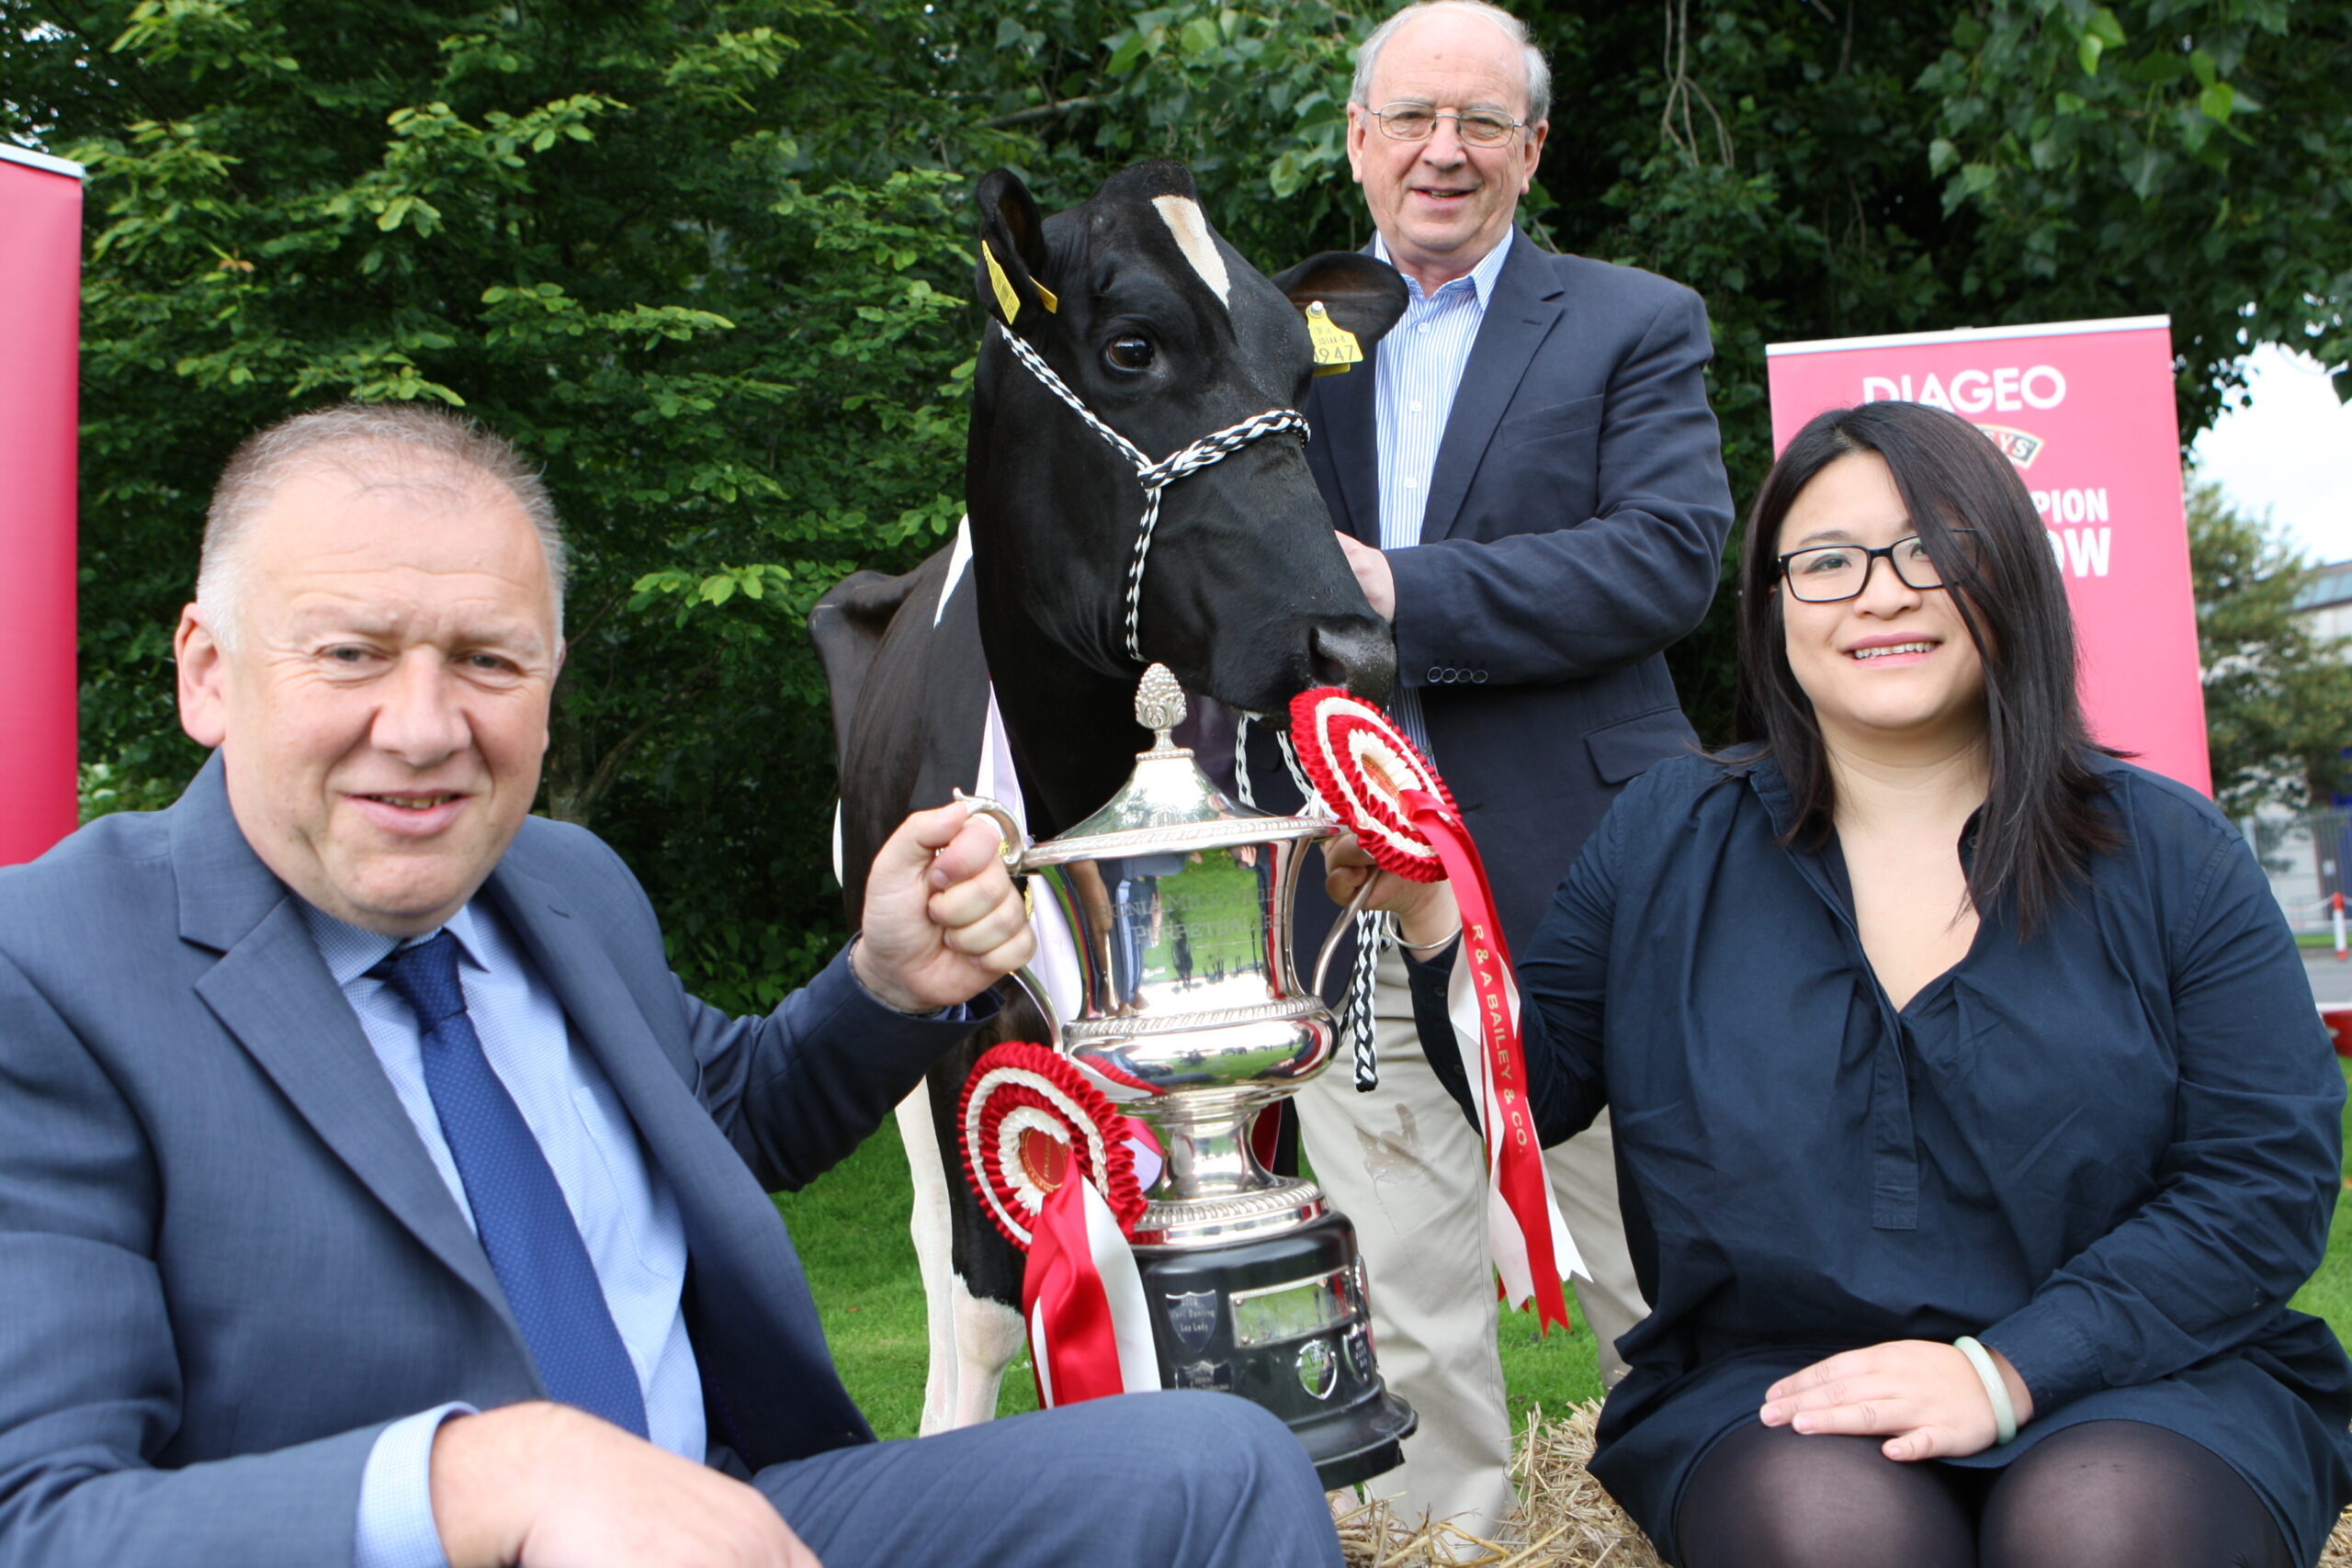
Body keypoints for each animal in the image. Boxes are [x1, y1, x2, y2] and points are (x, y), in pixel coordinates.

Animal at [808, 160, 1401, 1438]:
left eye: (1301, 372)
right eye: (1132, 345)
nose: (1355, 645)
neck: (1067, 773)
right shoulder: (960, 1027)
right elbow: (992, 1303)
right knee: (933, 1253)